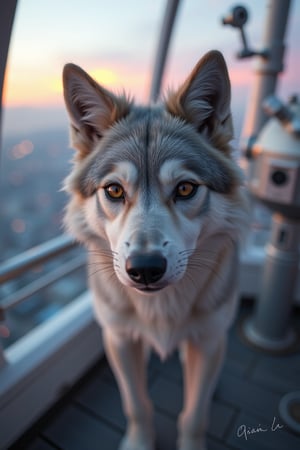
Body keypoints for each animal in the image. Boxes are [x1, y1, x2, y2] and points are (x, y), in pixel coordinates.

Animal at [62, 51, 247, 450]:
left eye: (186, 188)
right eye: (114, 190)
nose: (145, 268)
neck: (161, 309)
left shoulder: (209, 340)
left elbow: (194, 413)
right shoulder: (117, 338)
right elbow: (136, 404)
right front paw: (139, 441)